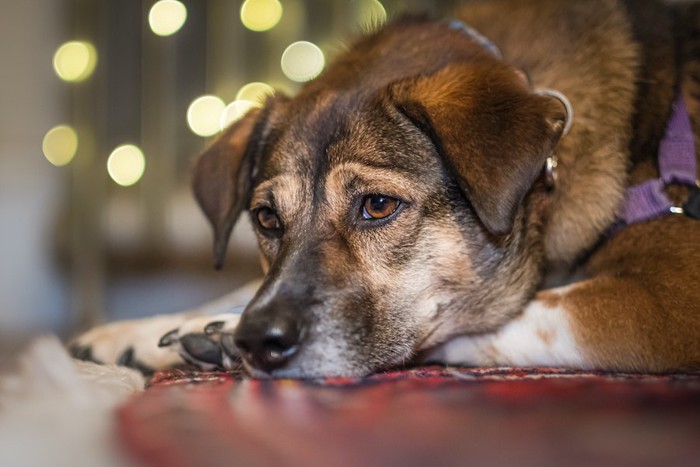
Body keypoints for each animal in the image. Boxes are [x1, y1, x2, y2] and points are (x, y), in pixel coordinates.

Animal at [72, 0, 700, 380]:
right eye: (266, 219)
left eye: (377, 206)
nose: (258, 340)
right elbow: (245, 285)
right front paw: (147, 330)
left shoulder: (669, 298)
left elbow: (499, 318)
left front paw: (220, 333)